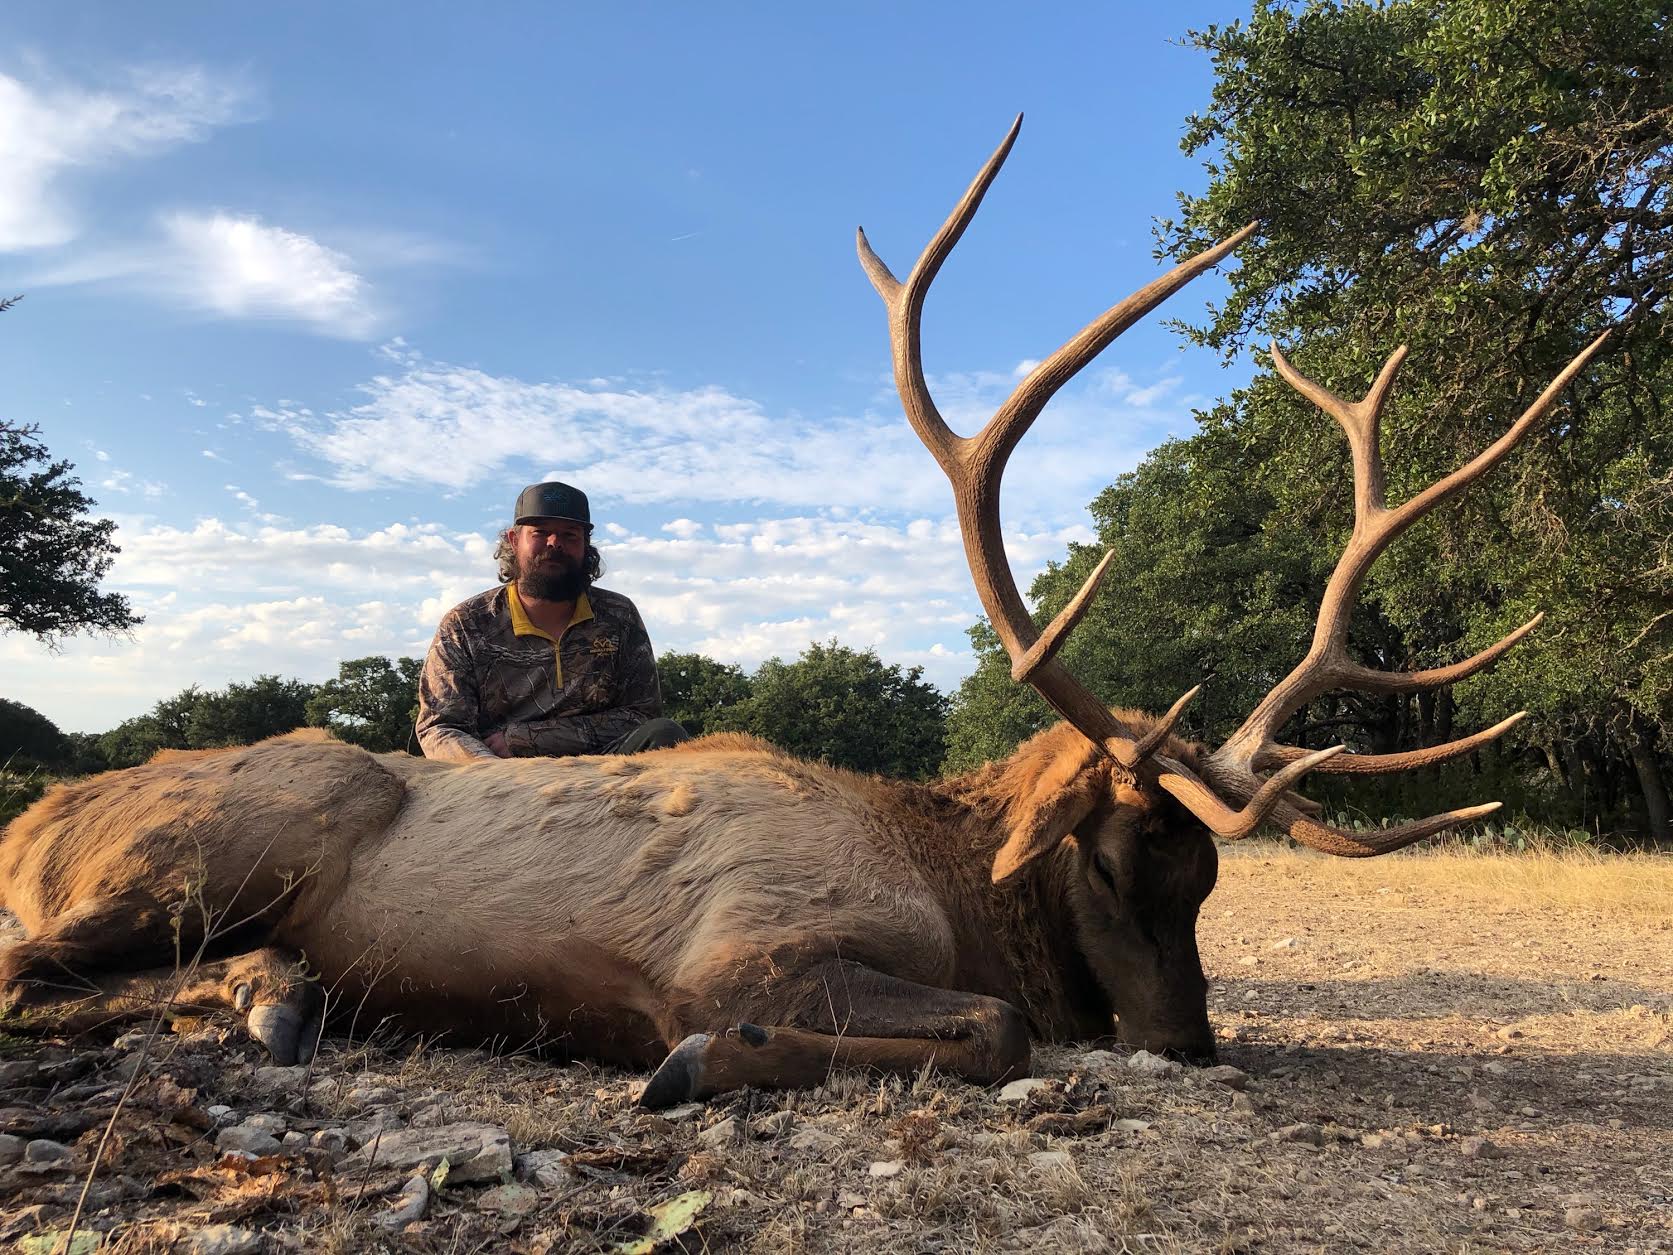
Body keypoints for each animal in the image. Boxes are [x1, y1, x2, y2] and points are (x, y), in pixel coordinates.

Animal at [0, 117, 1607, 1107]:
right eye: (1109, 860)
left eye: (1210, 874)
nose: (1194, 1046)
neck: (950, 880)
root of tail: (39, 812)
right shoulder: (740, 944)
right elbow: (992, 1025)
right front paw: (698, 1062)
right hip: (247, 828)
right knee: (30, 968)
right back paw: (264, 1002)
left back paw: (273, 997)